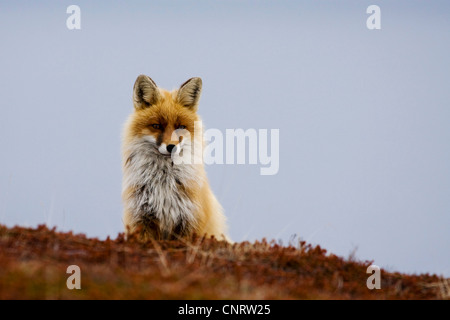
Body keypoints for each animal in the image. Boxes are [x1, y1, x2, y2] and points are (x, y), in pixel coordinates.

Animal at [121, 74, 229, 240]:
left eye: (181, 127)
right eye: (157, 126)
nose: (171, 147)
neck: (164, 184)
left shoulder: (190, 221)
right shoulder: (141, 219)